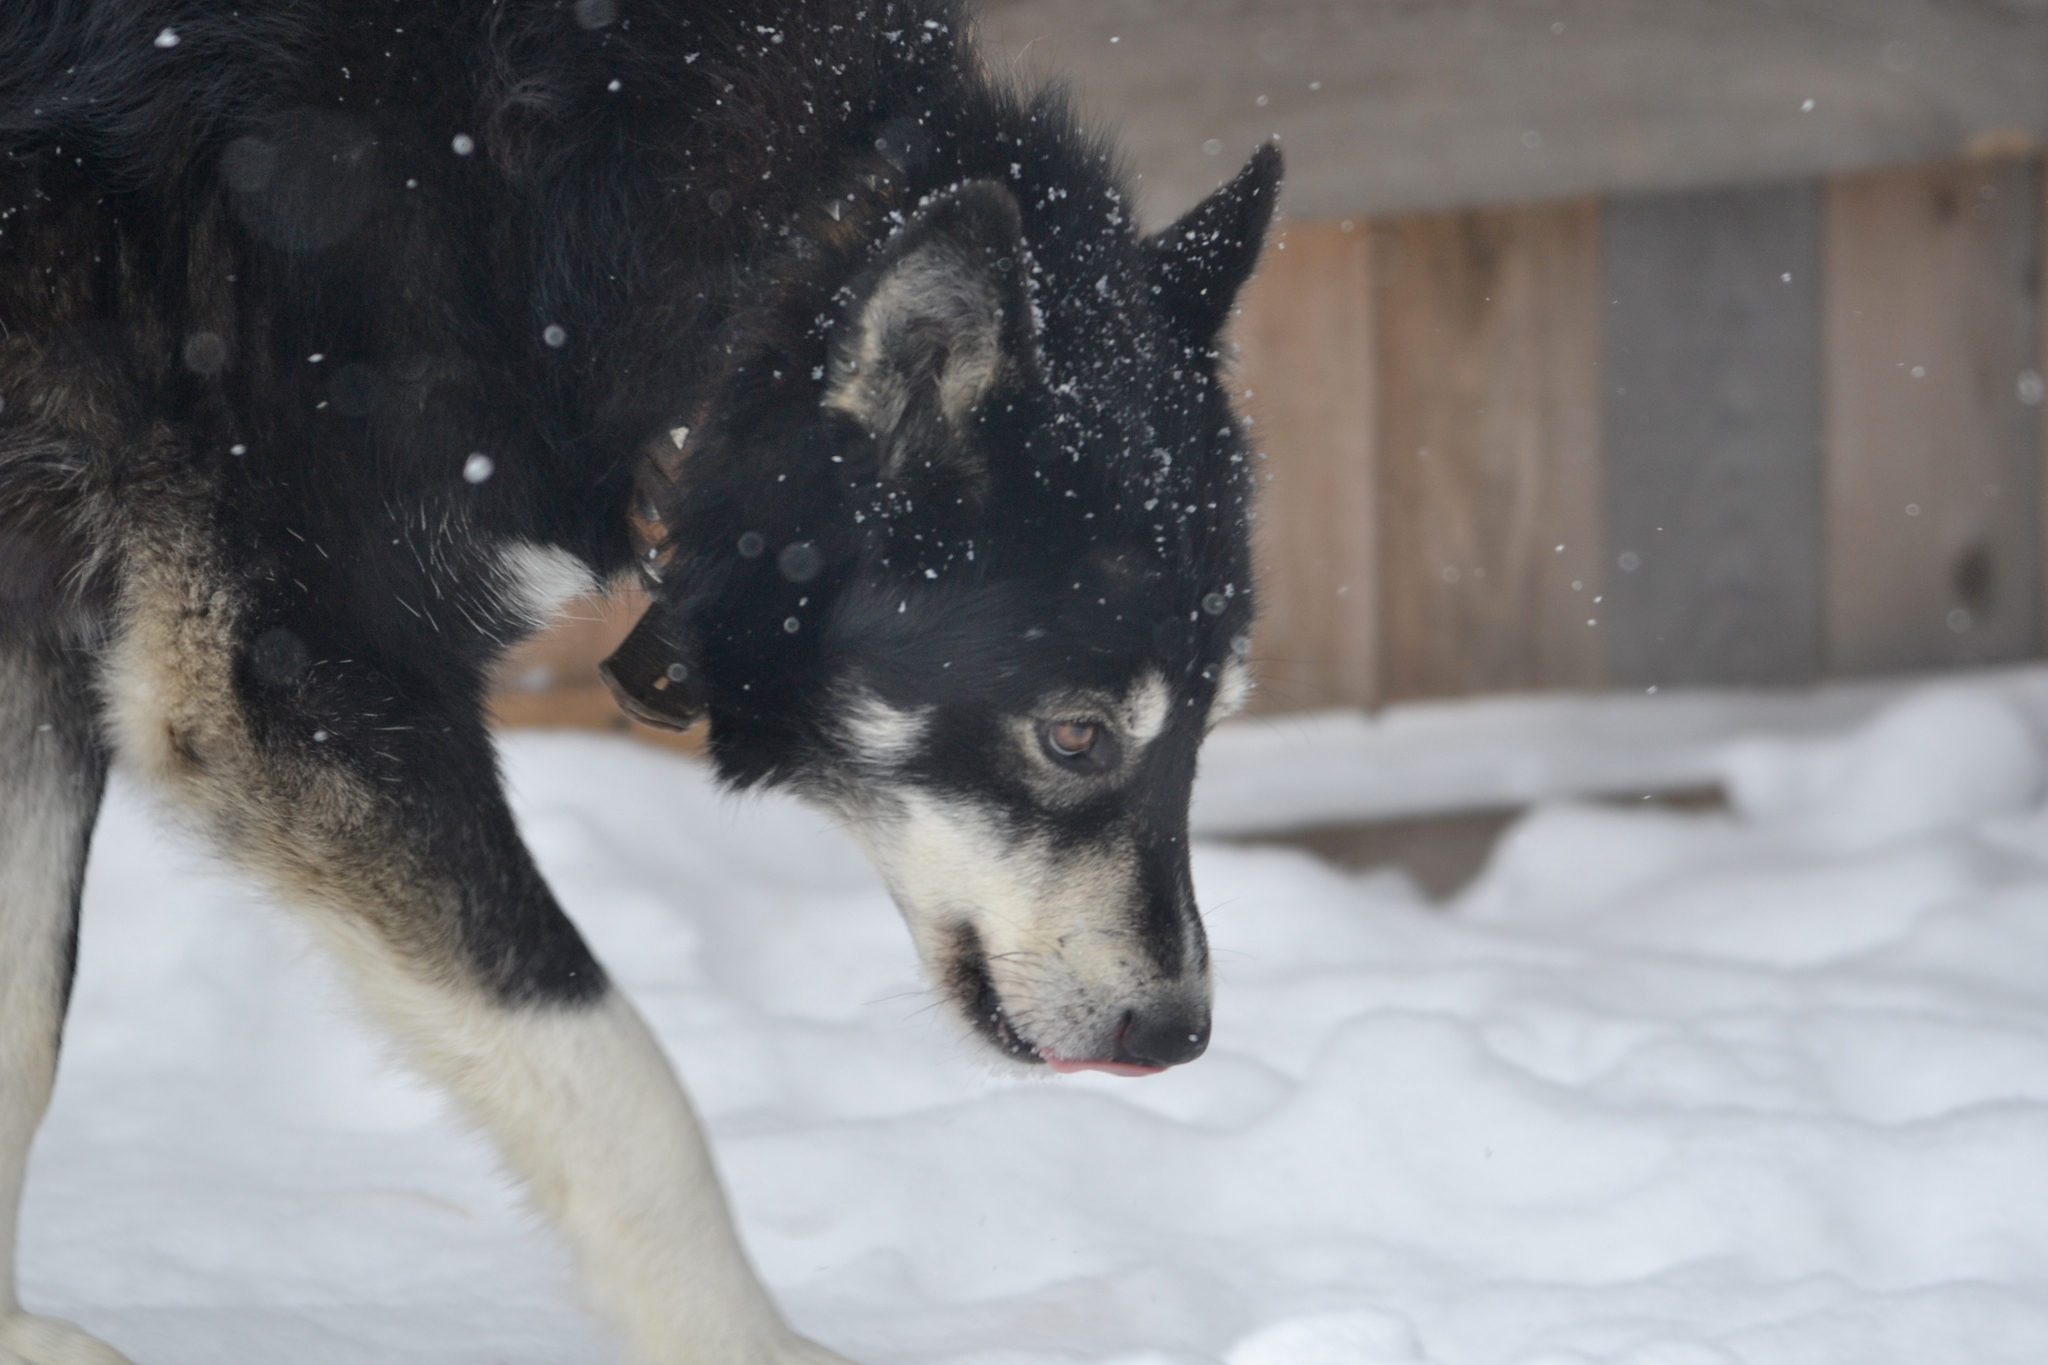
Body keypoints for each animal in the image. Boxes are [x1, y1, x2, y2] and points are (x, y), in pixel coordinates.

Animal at [0, 2, 1277, 1358]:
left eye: (1206, 732)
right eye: (1077, 737)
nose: (1180, 1035)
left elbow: (22, 1026)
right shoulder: (306, 675)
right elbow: (614, 1072)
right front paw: (740, 1340)